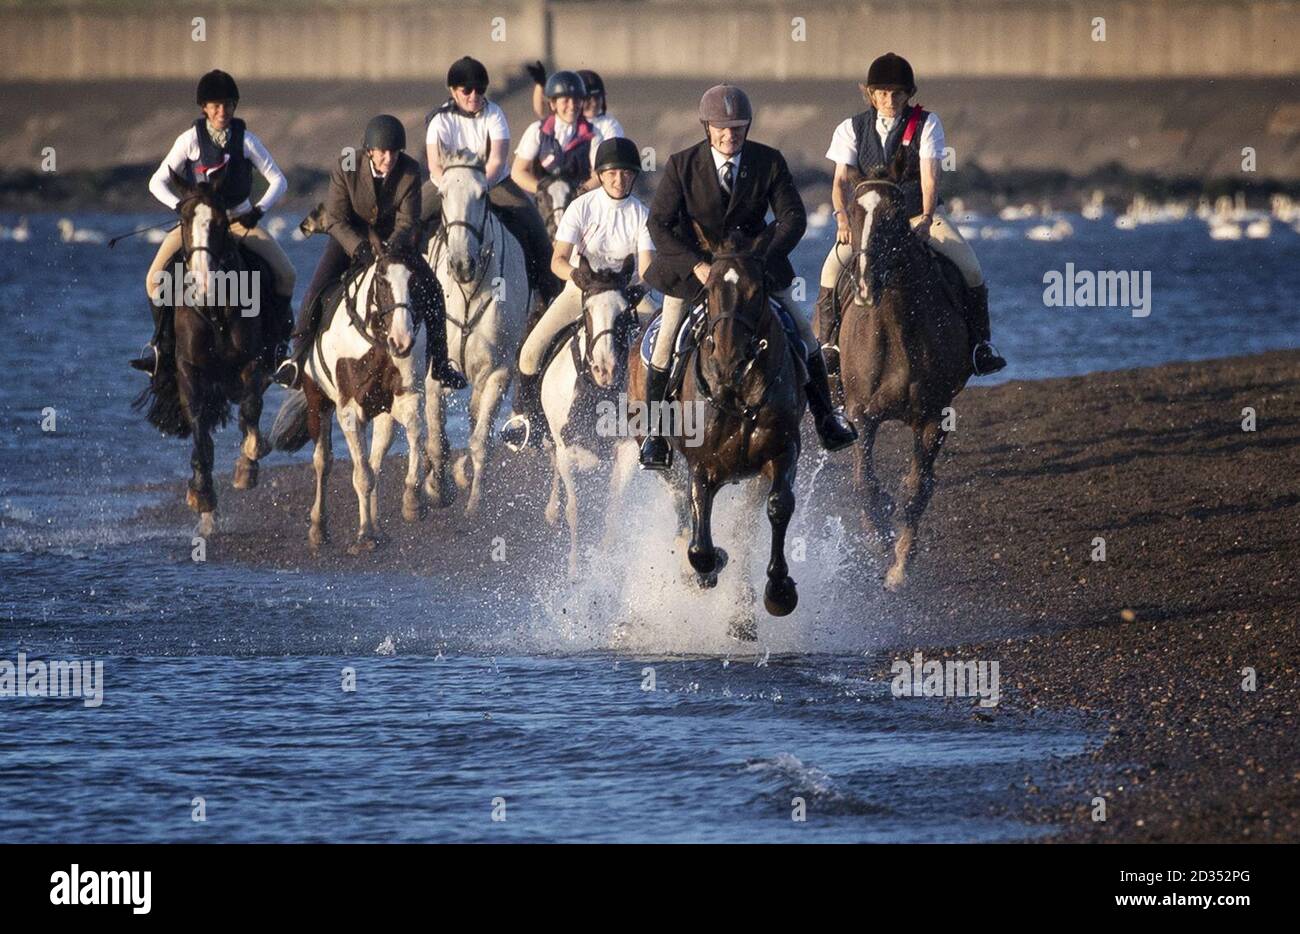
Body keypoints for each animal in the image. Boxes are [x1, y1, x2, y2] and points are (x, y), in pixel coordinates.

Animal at [134, 165, 276, 538]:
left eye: (221, 222)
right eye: (184, 218)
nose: (202, 281)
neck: (215, 308)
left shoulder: (252, 362)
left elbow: (251, 411)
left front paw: (247, 466)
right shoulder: (189, 370)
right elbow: (199, 430)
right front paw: (202, 495)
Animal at [271, 251, 423, 556]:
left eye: (414, 280)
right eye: (381, 281)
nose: (402, 341)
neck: (375, 342)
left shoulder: (404, 399)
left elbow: (414, 433)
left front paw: (412, 499)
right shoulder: (350, 412)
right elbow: (360, 474)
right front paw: (364, 535)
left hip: (384, 416)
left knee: (375, 460)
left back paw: (378, 527)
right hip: (317, 403)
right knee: (323, 461)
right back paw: (319, 529)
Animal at [423, 144, 530, 520]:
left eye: (482, 194)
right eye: (442, 194)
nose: (461, 264)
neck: (469, 291)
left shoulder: (498, 371)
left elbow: (481, 440)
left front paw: (474, 502)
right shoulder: (436, 371)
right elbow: (436, 438)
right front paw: (436, 491)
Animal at [826, 169, 972, 593]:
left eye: (894, 217)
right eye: (854, 213)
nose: (864, 285)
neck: (896, 328)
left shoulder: (934, 418)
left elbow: (916, 487)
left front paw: (900, 564)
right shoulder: (862, 415)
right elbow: (864, 484)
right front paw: (879, 535)